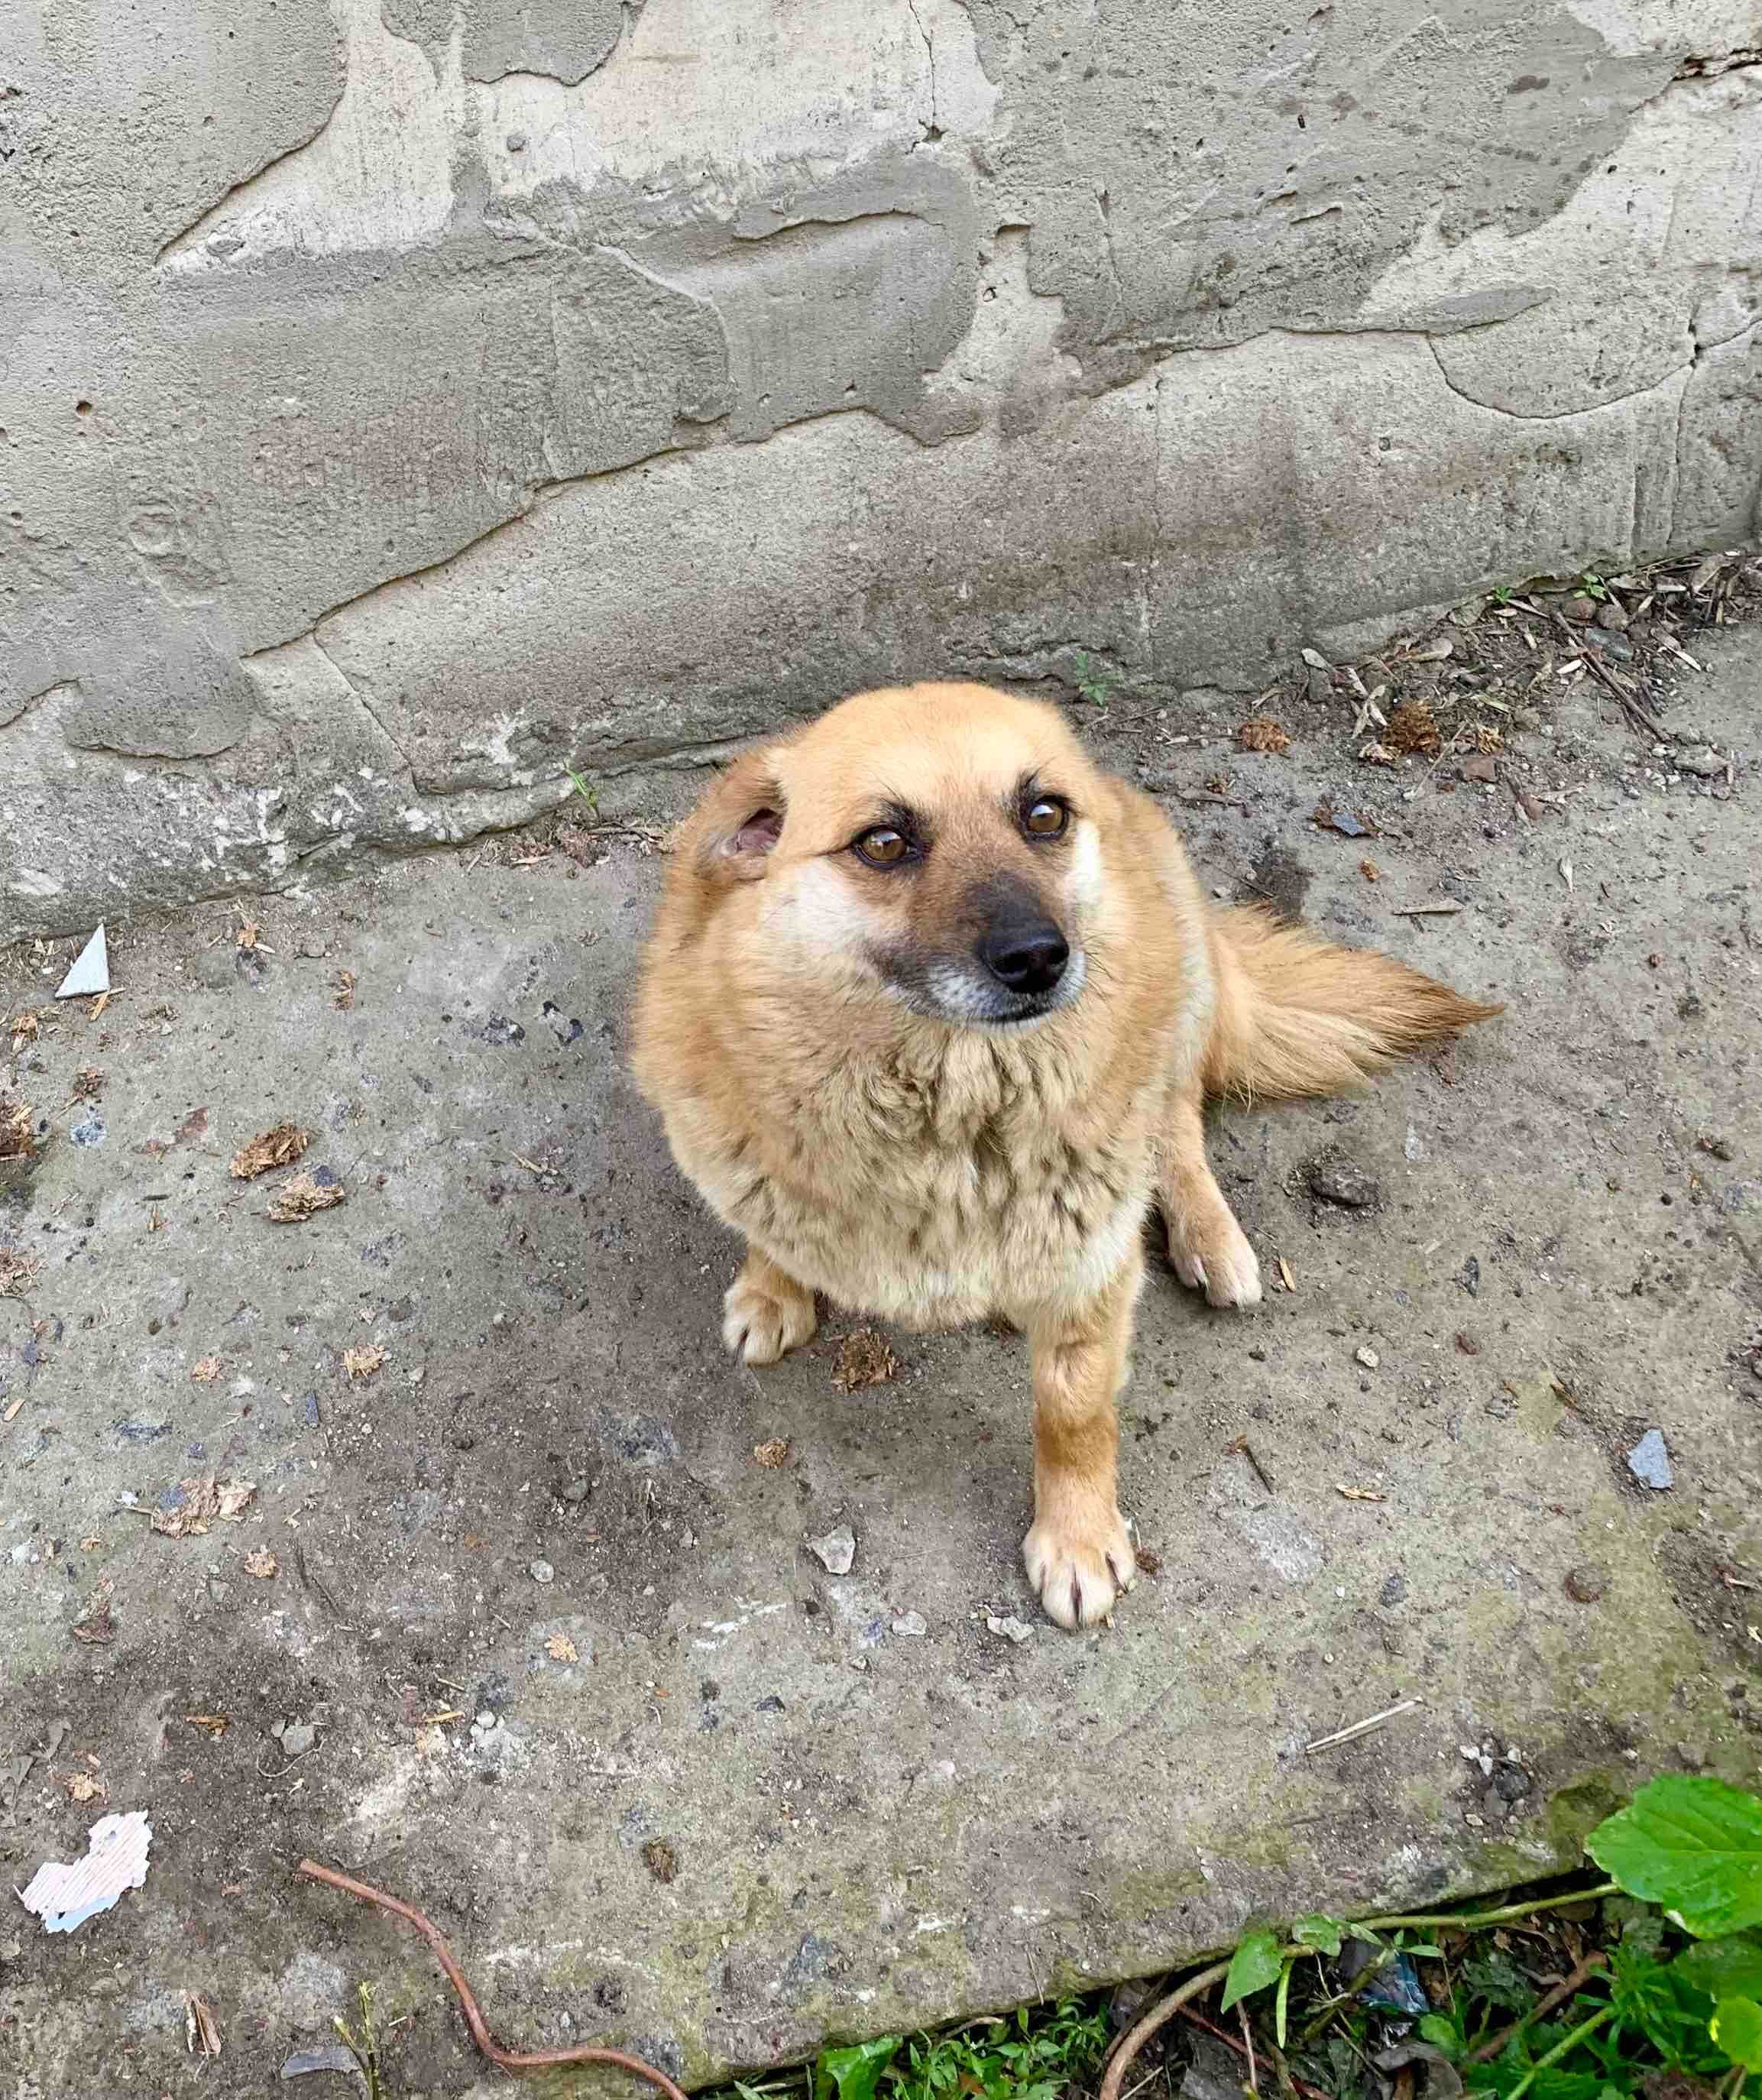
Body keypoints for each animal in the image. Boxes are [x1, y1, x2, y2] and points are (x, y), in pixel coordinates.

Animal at [626, 680, 1495, 1629]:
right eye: (883, 843)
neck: (946, 1119)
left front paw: (1075, 1537)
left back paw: (1209, 1235)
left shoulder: (1089, 1274)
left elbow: (1072, 1416)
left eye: (1043, 815)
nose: (1038, 958)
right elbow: (770, 1223)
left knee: (1177, 1125)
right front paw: (773, 1285)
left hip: (1180, 1001)